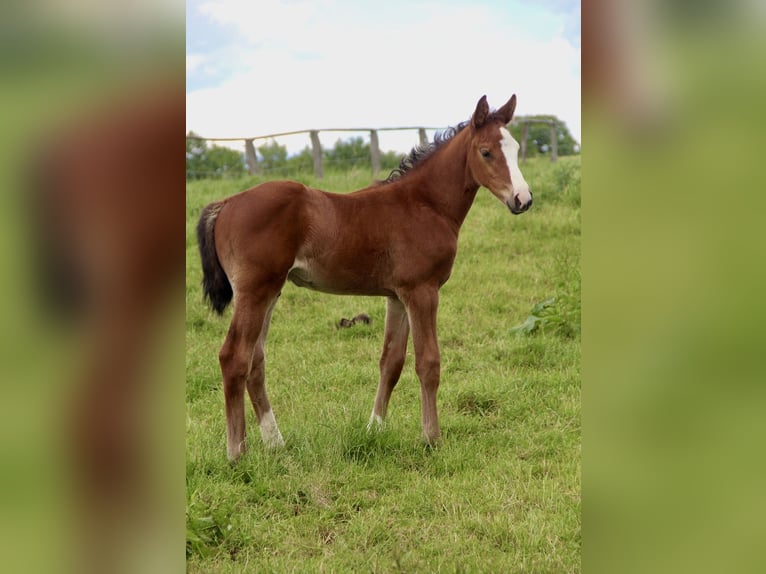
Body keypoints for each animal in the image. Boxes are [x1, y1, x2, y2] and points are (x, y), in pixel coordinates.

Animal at [197, 95, 532, 461]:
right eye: (486, 152)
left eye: (516, 148)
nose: (523, 199)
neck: (424, 204)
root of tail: (226, 203)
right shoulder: (423, 291)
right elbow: (428, 362)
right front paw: (432, 438)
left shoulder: (397, 296)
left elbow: (392, 362)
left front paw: (375, 429)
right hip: (255, 291)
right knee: (234, 357)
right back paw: (236, 454)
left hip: (270, 292)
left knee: (255, 361)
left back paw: (276, 443)